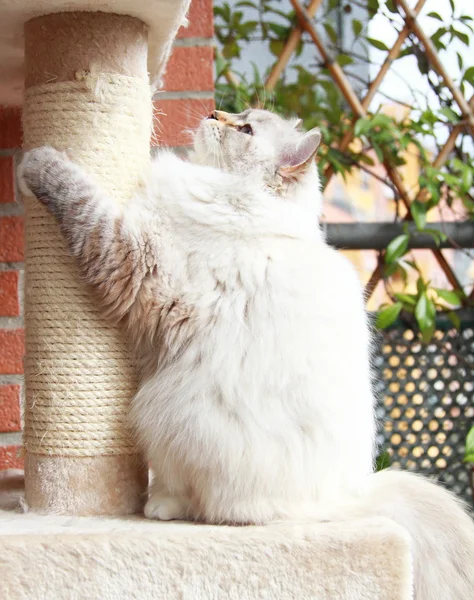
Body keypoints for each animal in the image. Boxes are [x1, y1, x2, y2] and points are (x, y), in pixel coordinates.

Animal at [18, 109, 474, 600]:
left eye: (246, 130)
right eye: (237, 117)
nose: (214, 114)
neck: (236, 199)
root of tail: (346, 502)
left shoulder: (131, 255)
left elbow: (78, 196)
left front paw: (33, 161)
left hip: (163, 413)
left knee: (206, 506)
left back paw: (159, 506)